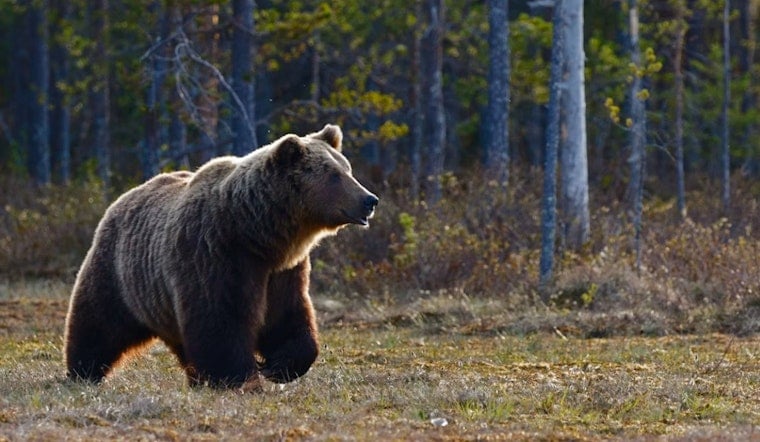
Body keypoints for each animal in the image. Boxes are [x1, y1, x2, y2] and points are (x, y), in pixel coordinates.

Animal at [63, 124, 378, 390]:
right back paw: (83, 371)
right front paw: (240, 377)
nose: (370, 199)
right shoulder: (216, 254)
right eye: (334, 175)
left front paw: (278, 366)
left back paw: (195, 378)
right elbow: (220, 319)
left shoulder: (283, 271)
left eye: (347, 169)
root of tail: (123, 197)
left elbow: (287, 316)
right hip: (119, 272)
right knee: (98, 321)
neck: (257, 233)